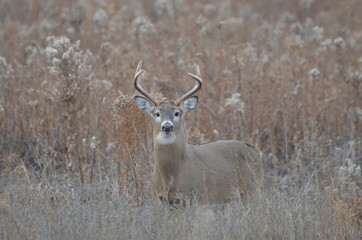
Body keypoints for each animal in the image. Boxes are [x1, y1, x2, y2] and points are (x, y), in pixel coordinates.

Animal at [133, 61, 264, 205]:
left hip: (253, 188)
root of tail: (254, 150)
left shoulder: (197, 195)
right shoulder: (162, 199)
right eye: (157, 113)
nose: (167, 126)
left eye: (177, 113)